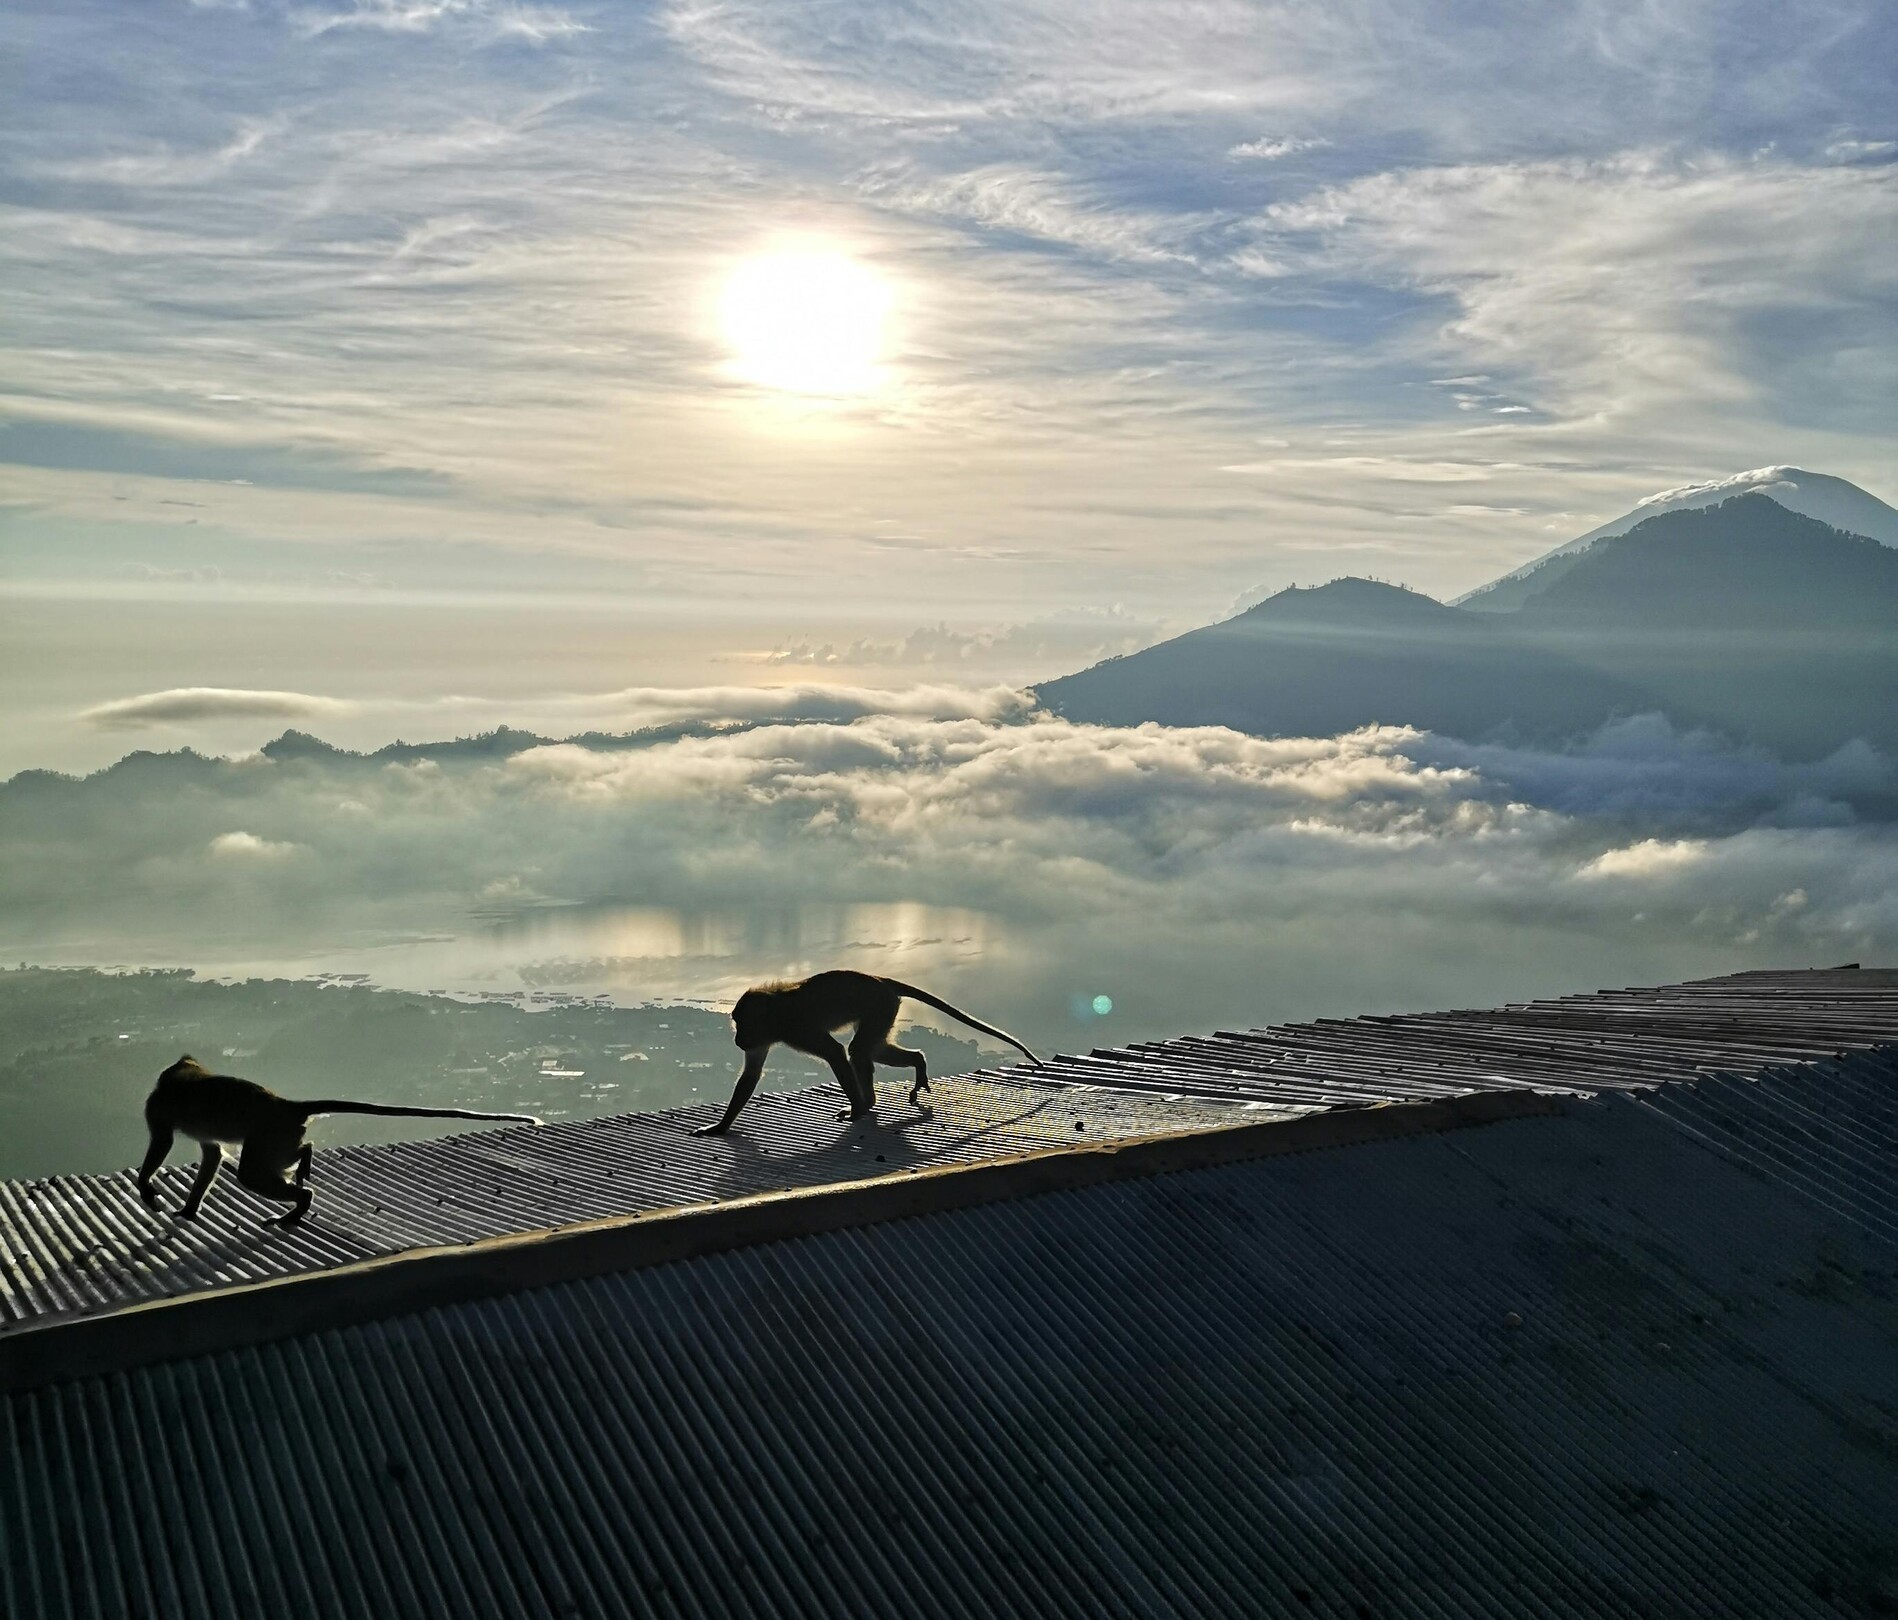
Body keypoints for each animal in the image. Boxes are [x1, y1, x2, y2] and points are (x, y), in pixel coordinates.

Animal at [135, 1055, 541, 1227]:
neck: (183, 1077)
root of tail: (286, 1105)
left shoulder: (157, 1108)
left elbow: (162, 1143)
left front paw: (146, 1188)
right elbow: (212, 1154)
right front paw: (189, 1210)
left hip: (271, 1132)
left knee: (250, 1173)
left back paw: (300, 1201)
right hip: (280, 1135)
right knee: (279, 1157)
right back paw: (305, 1162)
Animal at [693, 970, 1042, 1136]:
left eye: (742, 1023)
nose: (738, 1040)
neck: (776, 1013)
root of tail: (882, 981)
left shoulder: (796, 1029)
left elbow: (834, 1052)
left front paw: (858, 1109)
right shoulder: (766, 1037)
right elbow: (751, 1074)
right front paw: (720, 1127)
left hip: (880, 1006)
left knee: (857, 1049)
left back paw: (868, 1102)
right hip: (884, 1009)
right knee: (868, 1049)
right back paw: (916, 1062)